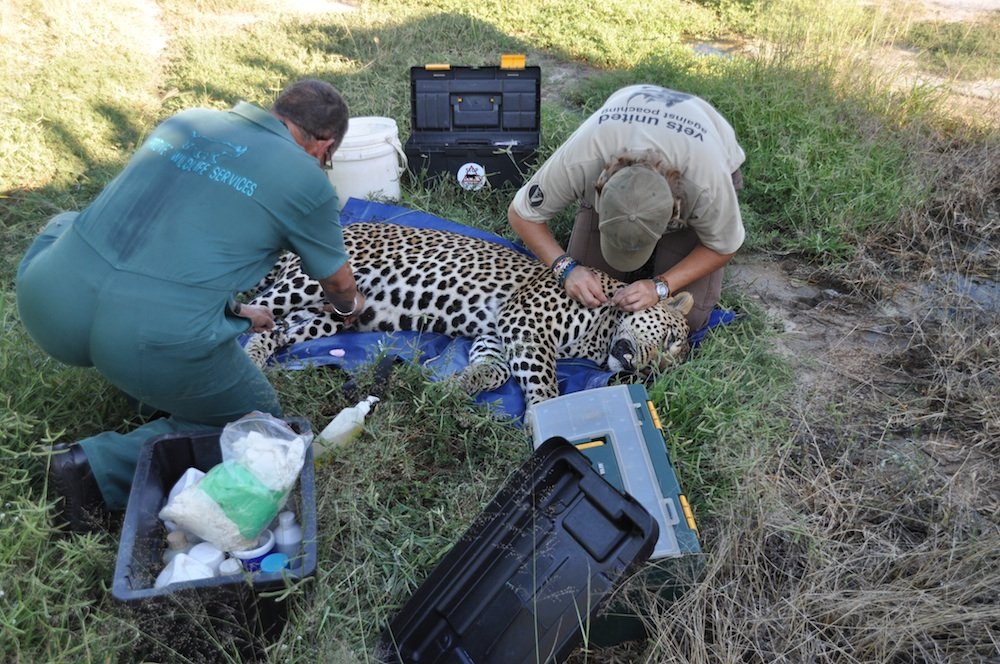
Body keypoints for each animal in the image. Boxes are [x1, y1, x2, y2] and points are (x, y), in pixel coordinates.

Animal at [243, 222, 694, 407]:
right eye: (670, 342)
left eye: (668, 368)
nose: (646, 370)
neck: (598, 339)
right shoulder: (525, 321)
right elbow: (545, 382)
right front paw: (544, 417)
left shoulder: (499, 334)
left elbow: (493, 372)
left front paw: (448, 386)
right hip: (309, 282)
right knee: (252, 311)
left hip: (336, 313)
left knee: (275, 328)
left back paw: (260, 362)